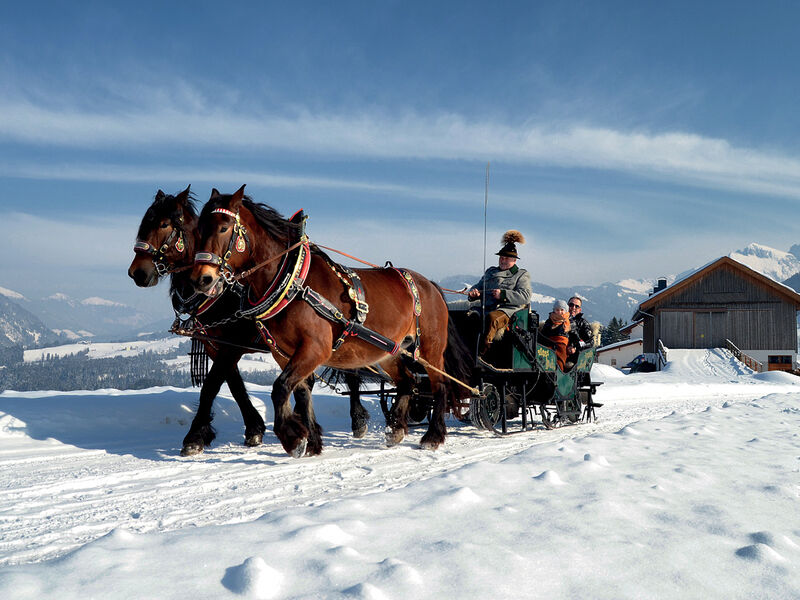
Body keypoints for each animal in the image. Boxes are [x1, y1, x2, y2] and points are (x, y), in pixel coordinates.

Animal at [191, 186, 460, 454]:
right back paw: (395, 428)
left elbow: (280, 388)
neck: (293, 282)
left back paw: (433, 435)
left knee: (440, 384)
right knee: (408, 381)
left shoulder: (315, 348)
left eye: (224, 227)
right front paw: (311, 440)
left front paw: (292, 437)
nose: (201, 279)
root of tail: (430, 285)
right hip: (389, 350)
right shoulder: (283, 353)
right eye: (198, 230)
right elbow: (300, 392)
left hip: (430, 348)